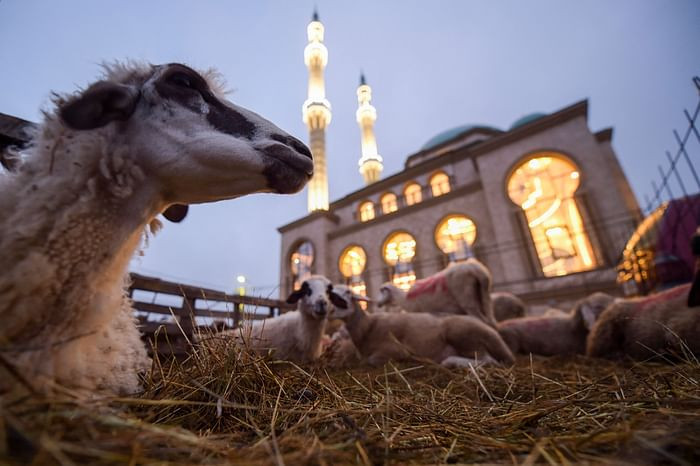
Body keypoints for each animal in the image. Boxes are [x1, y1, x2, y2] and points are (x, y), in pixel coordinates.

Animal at [328, 284, 516, 368]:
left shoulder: (394, 349)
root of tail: (494, 335)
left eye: (348, 292)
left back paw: (448, 361)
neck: (367, 327)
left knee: (488, 361)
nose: (328, 307)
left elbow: (371, 361)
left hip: (463, 336)